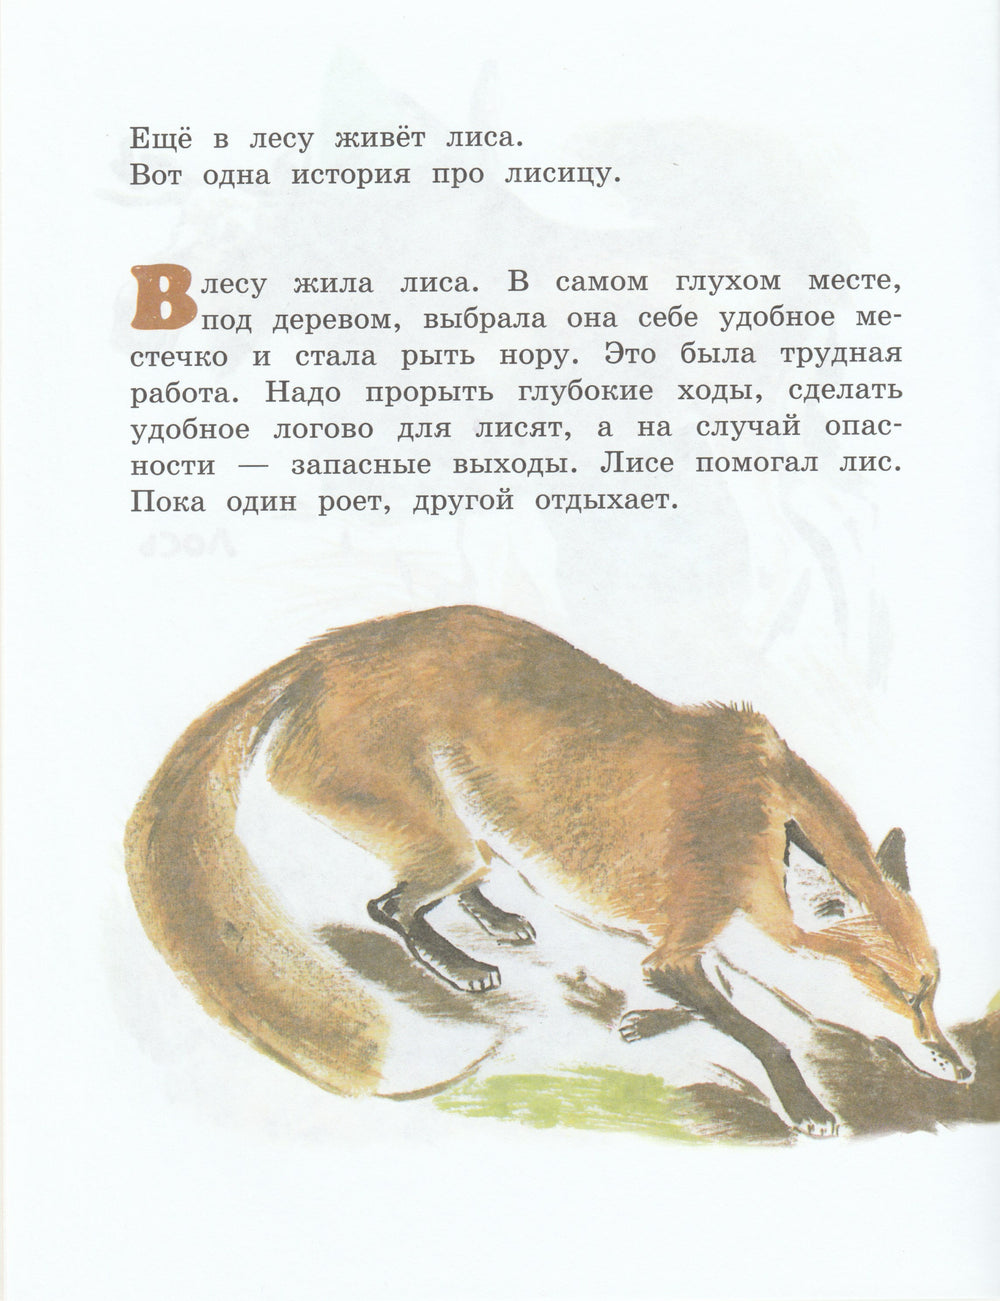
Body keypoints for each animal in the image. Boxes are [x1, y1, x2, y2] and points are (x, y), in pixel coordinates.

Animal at [125, 605, 972, 1135]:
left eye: (933, 991)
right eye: (904, 993)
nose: (962, 1070)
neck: (752, 841)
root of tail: (323, 649)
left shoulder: (694, 947)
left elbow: (721, 999)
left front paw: (648, 1019)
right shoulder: (685, 934)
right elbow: (766, 1037)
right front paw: (805, 1105)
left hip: (474, 836)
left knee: (440, 890)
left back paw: (495, 921)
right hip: (445, 840)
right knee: (388, 907)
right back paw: (459, 964)